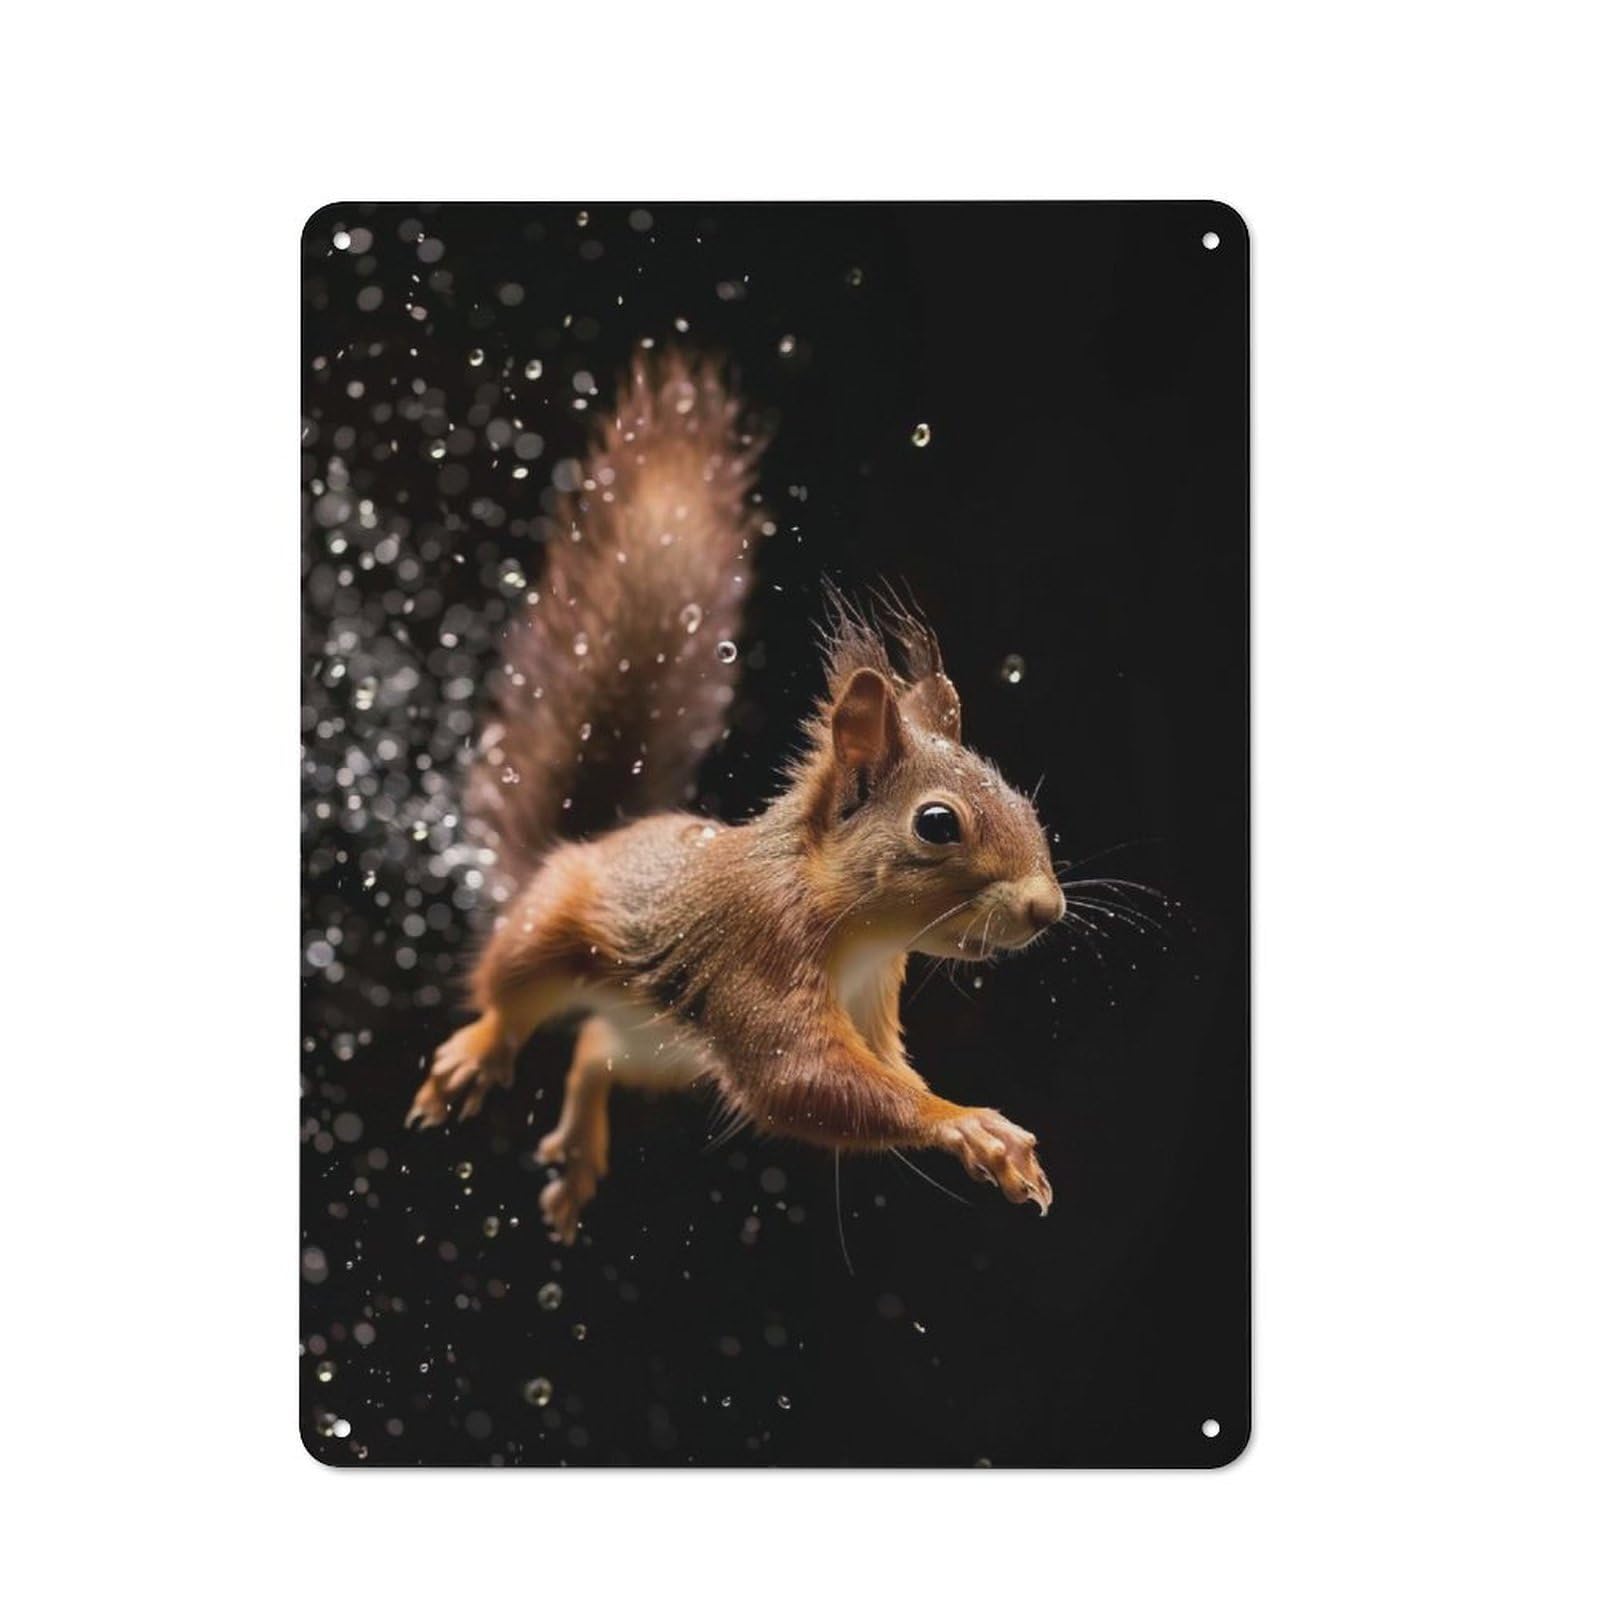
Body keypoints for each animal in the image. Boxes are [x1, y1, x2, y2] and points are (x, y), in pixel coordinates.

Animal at [407, 351, 1065, 1242]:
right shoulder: (760, 947)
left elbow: (877, 1071)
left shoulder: (874, 998)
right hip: (546, 934)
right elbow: (799, 1077)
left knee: (593, 1051)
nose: (1047, 909)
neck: (851, 925)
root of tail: (587, 844)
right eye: (937, 824)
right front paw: (967, 1124)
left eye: (1027, 804)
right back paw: (472, 1058)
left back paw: (577, 1154)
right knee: (507, 1000)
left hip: (661, 1050)